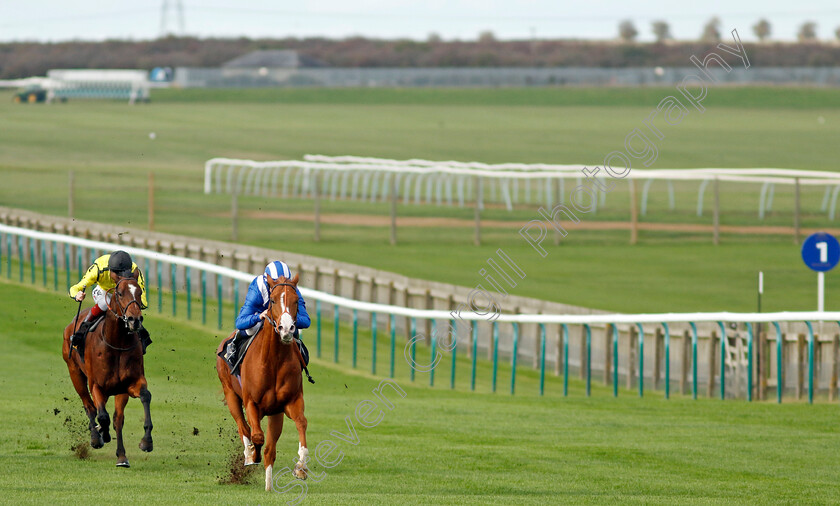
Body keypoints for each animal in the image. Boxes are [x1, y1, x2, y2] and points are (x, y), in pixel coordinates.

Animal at [63, 270, 154, 468]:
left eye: (139, 292)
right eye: (119, 293)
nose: (135, 320)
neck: (116, 343)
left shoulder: (128, 385)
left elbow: (143, 397)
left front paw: (145, 442)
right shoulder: (96, 385)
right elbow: (102, 416)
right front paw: (101, 435)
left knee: (116, 418)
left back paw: (121, 455)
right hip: (75, 373)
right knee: (89, 407)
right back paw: (96, 437)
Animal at [217, 274, 308, 492]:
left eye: (296, 301)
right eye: (273, 300)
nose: (286, 329)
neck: (274, 360)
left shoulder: (289, 403)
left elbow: (301, 423)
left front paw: (301, 467)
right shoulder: (251, 402)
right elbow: (256, 435)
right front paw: (252, 455)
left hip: (275, 414)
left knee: (270, 449)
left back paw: (268, 484)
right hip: (230, 394)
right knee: (243, 427)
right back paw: (249, 454)